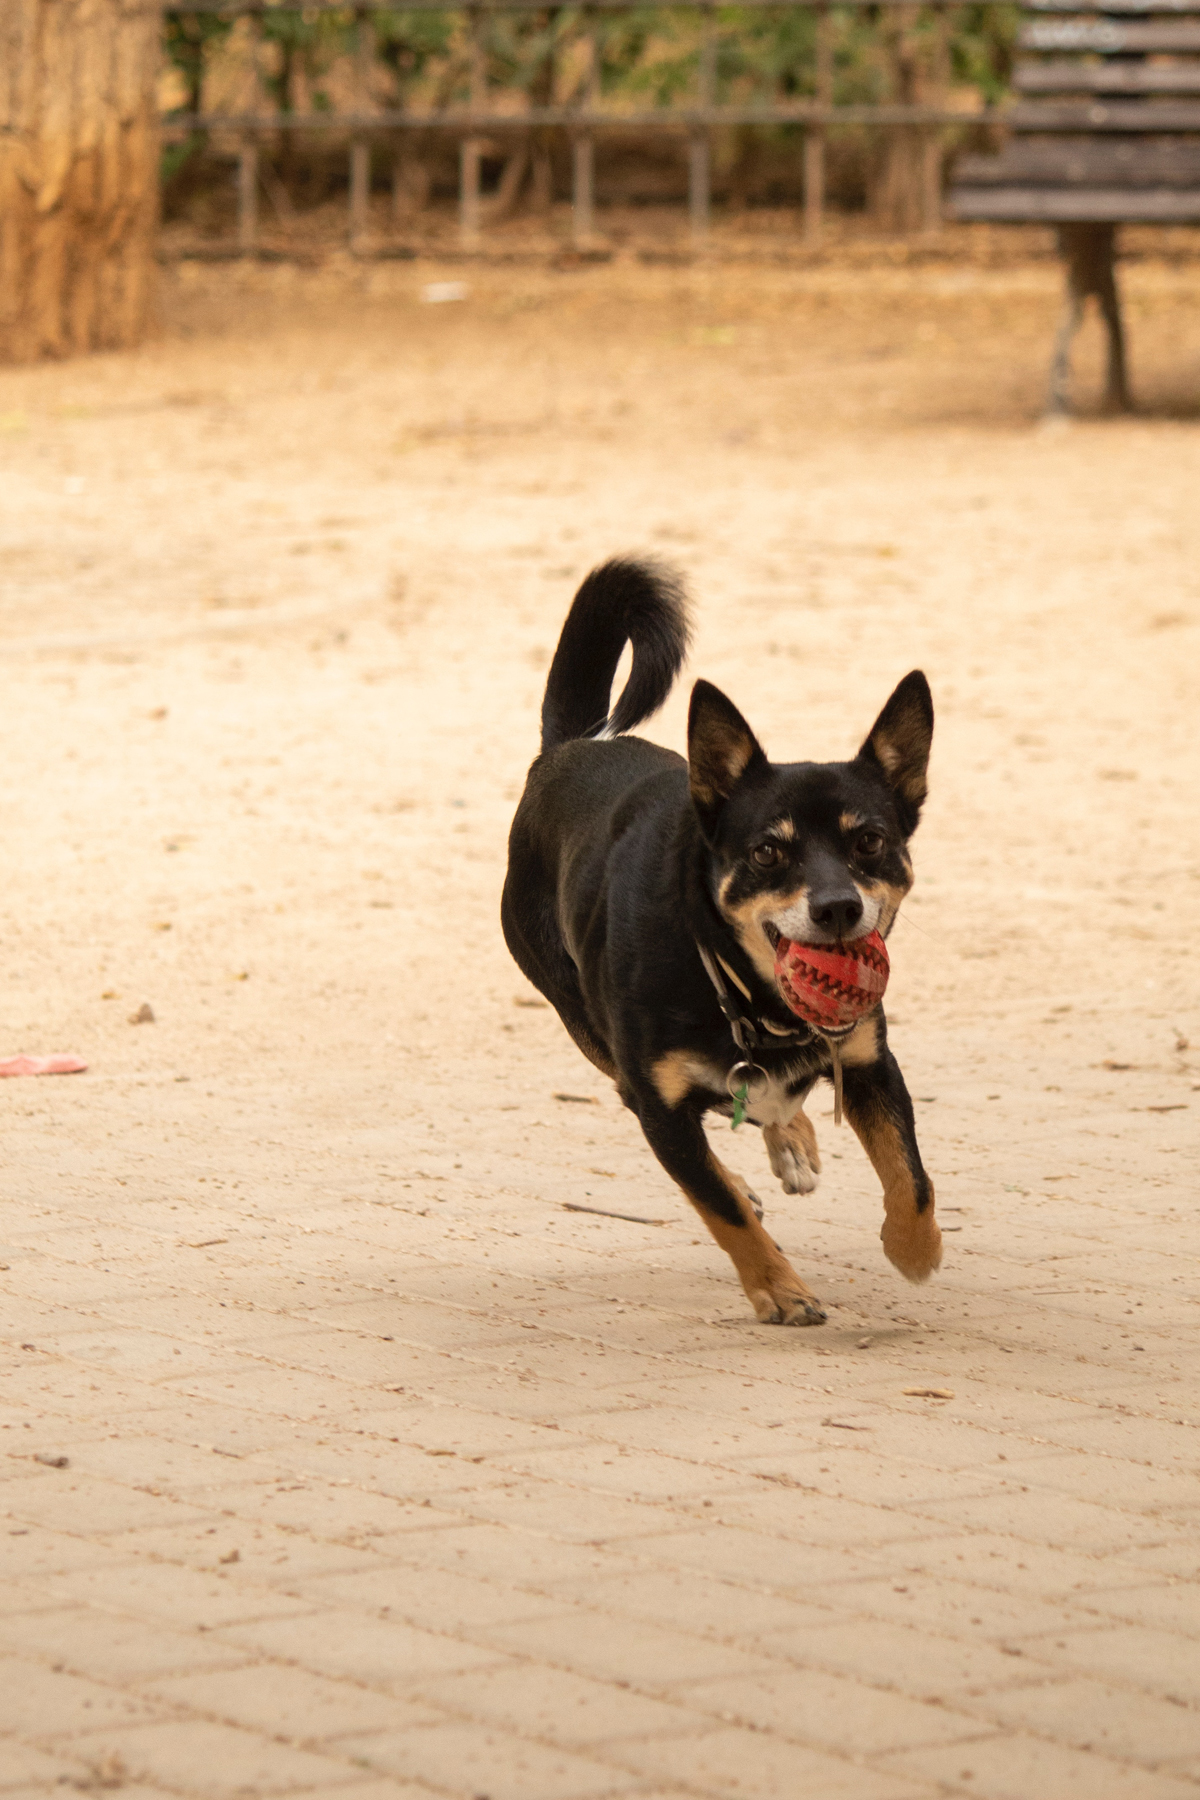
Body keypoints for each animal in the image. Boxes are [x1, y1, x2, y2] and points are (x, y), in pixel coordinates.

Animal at [503, 561, 942, 1324]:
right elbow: (720, 1206)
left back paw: (791, 1138)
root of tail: (568, 747)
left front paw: (914, 1250)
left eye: (869, 842)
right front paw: (780, 1290)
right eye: (768, 852)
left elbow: (911, 1178)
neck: (746, 997)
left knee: (777, 1103)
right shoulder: (659, 1108)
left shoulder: (869, 1062)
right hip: (584, 1023)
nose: (838, 908)